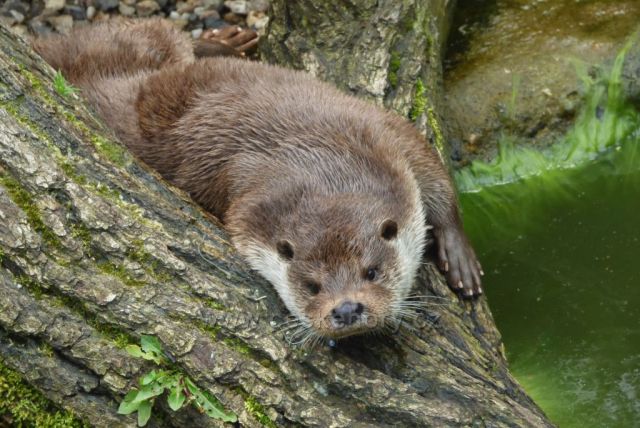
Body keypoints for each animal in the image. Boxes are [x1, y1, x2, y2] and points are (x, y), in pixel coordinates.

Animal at [30, 18, 480, 342]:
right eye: (312, 286)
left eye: (371, 272)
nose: (347, 309)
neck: (322, 162)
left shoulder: (378, 129)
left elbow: (434, 174)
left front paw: (460, 258)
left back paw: (228, 41)